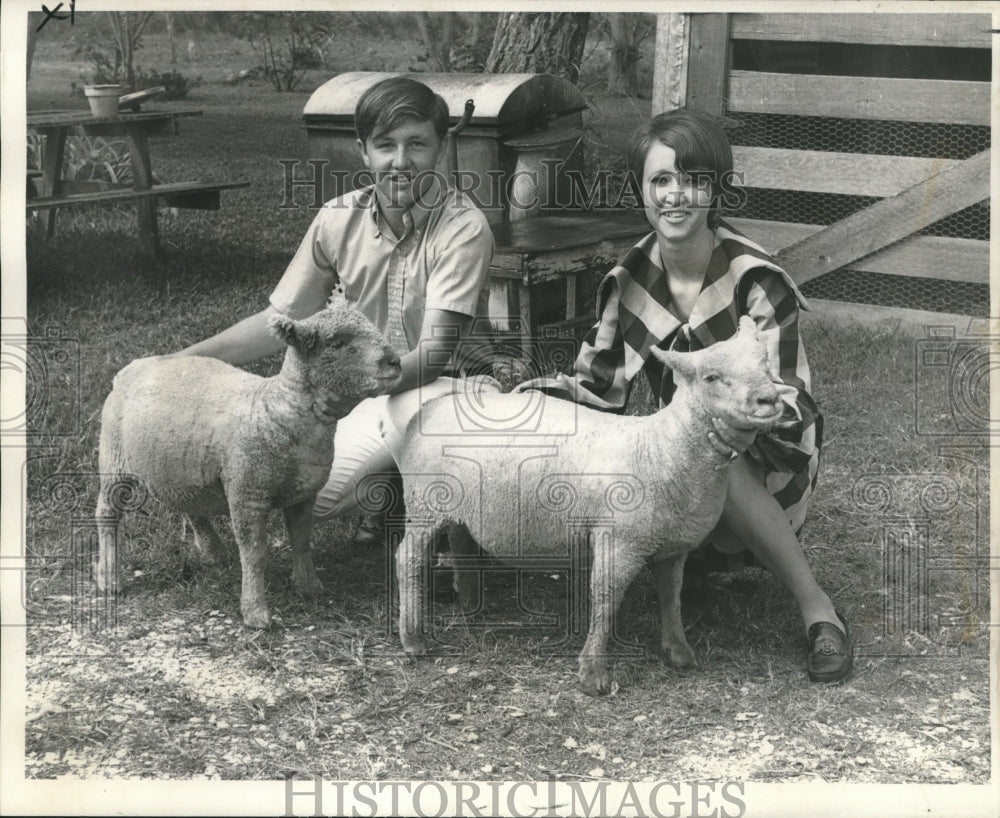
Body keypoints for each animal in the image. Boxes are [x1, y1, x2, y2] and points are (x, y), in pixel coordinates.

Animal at [96, 302, 402, 628]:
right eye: (337, 343)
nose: (395, 362)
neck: (273, 409)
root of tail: (133, 368)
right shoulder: (247, 496)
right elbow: (255, 554)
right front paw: (256, 612)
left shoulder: (304, 494)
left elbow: (302, 540)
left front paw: (309, 586)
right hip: (114, 458)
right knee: (106, 514)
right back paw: (109, 578)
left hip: (178, 464)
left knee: (188, 503)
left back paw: (214, 552)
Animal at [394, 316, 784, 692]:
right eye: (711, 377)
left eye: (766, 363)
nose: (769, 399)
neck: (663, 448)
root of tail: (429, 409)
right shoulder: (619, 541)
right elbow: (606, 600)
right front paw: (593, 675)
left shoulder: (673, 547)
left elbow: (671, 596)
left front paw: (679, 651)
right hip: (425, 502)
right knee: (408, 558)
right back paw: (413, 638)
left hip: (459, 506)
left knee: (460, 541)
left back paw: (471, 603)